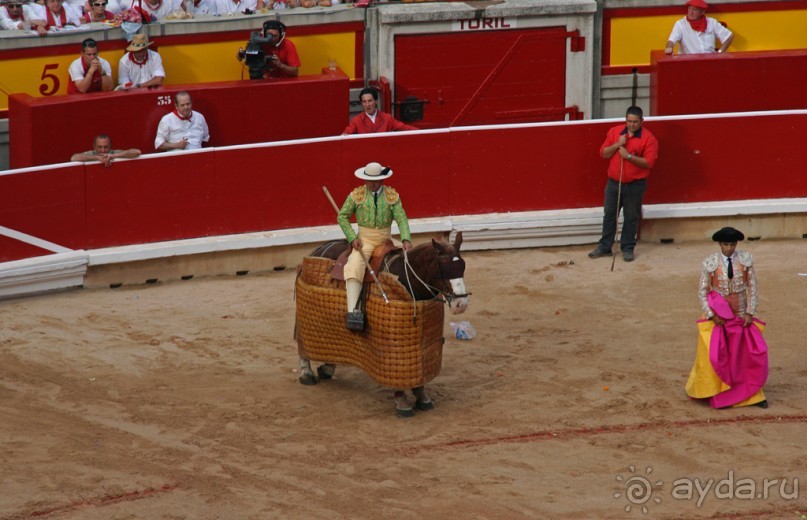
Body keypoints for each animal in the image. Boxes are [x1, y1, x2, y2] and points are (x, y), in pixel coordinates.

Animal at [298, 234, 470, 416]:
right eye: (441, 270)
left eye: (462, 267)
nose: (461, 304)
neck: (406, 277)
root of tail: (318, 249)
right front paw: (402, 402)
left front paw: (422, 397)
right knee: (302, 340)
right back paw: (306, 374)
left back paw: (327, 368)